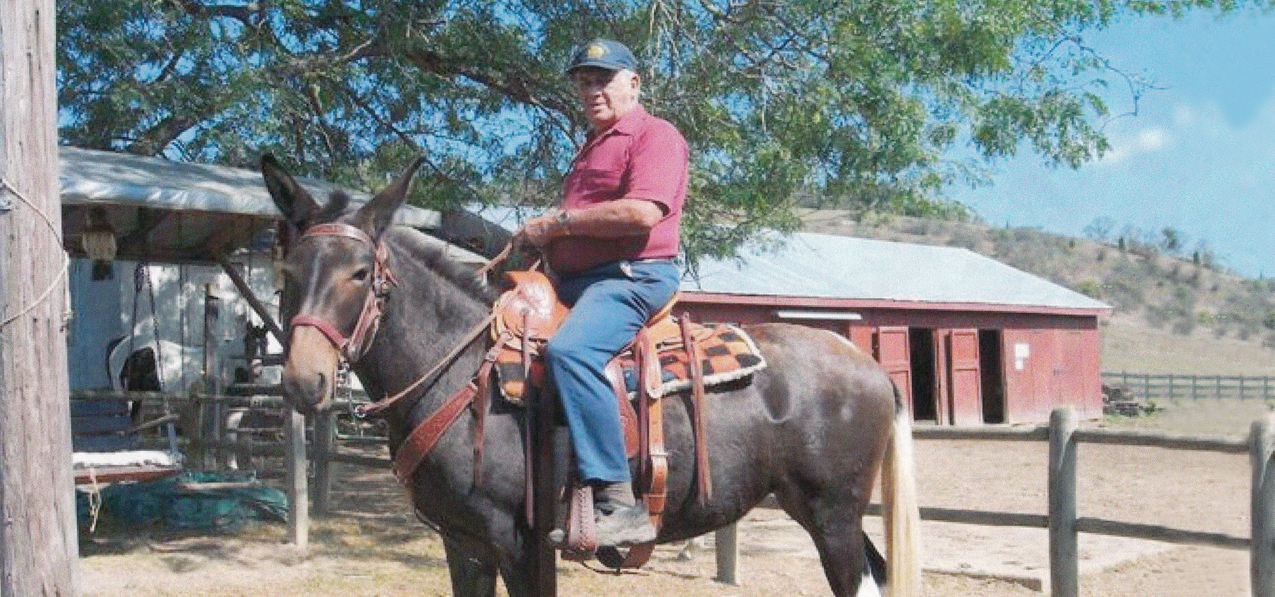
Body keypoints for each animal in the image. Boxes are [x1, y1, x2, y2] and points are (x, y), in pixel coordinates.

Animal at [260, 155, 921, 597]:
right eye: (289, 270)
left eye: (358, 272)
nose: (303, 380)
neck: (457, 370)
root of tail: (872, 368)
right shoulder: (464, 542)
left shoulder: (519, 542)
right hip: (820, 510)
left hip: (833, 514)